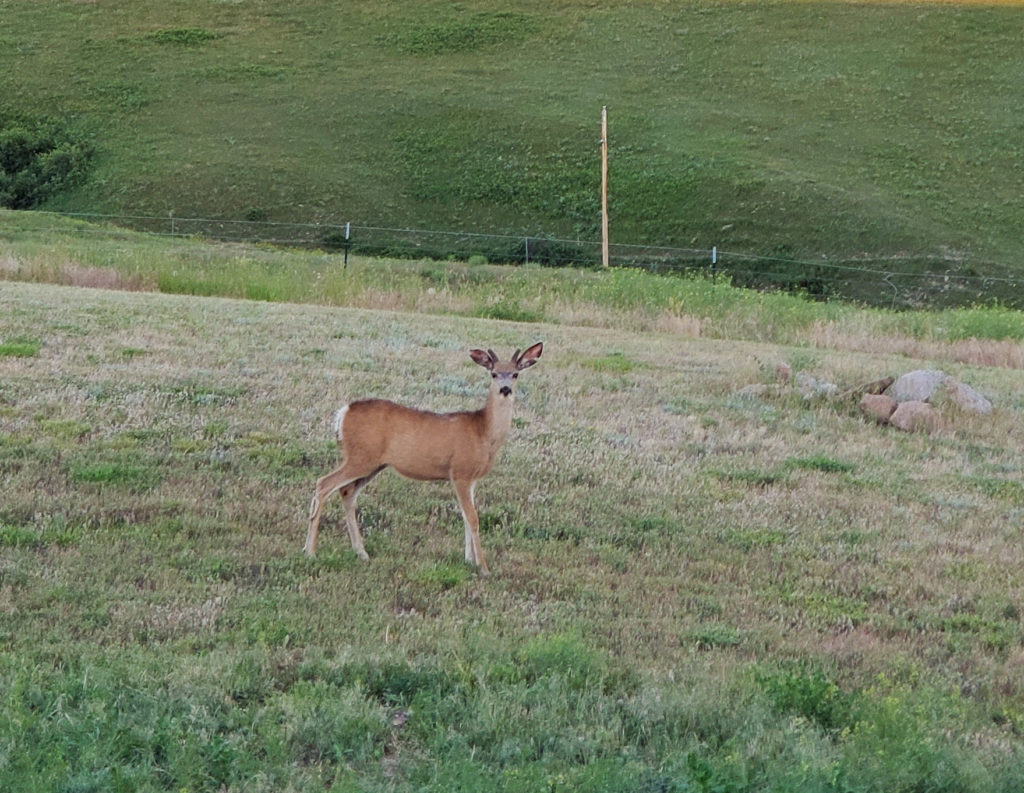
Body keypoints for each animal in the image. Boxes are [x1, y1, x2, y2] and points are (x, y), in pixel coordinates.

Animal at [305, 342, 543, 576]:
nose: (505, 389)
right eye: (494, 374)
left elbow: (466, 516)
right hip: (361, 456)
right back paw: (310, 552)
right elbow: (473, 518)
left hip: (372, 464)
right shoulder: (460, 472)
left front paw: (469, 561)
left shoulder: (472, 478)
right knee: (324, 484)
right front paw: (483, 568)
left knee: (346, 492)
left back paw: (361, 553)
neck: (483, 432)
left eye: (515, 374)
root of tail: (343, 413)